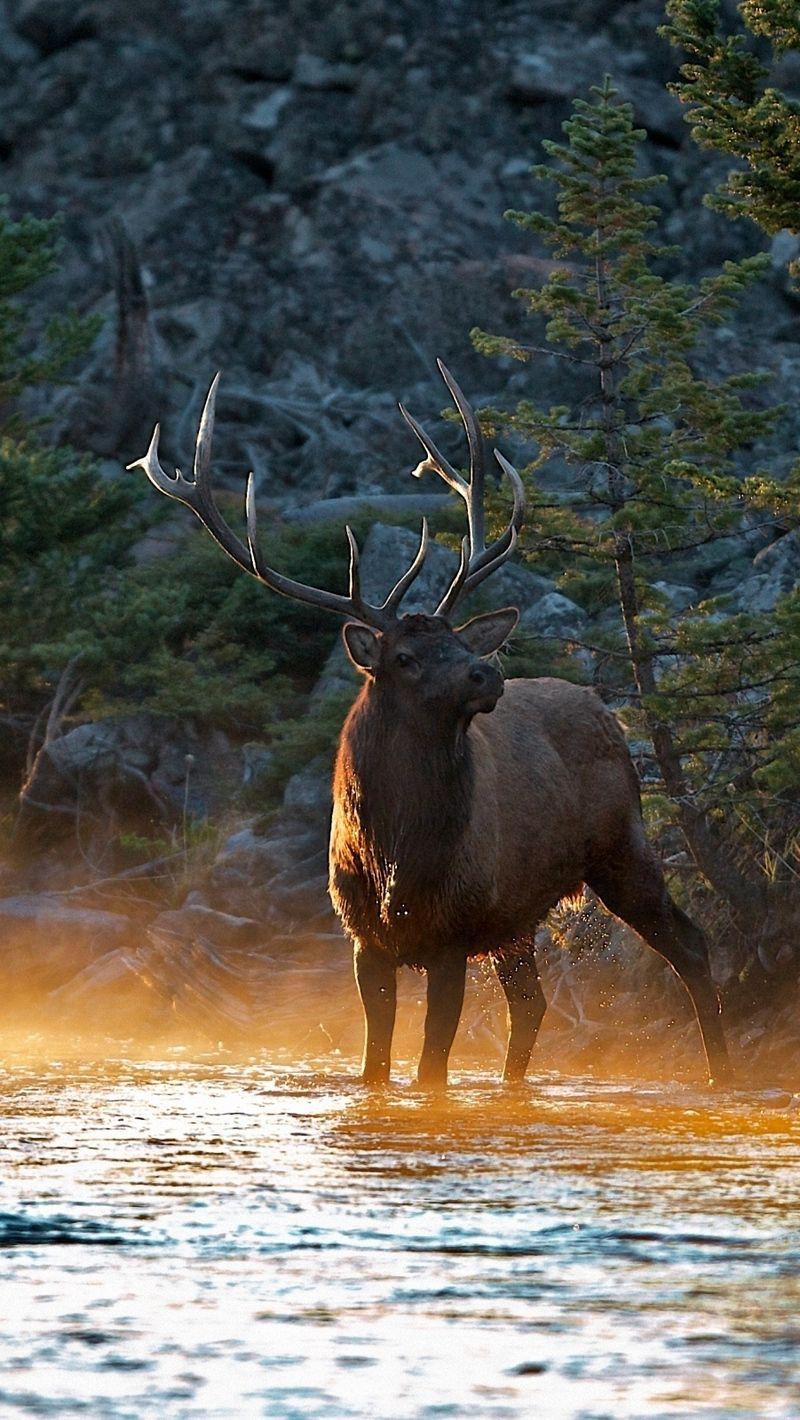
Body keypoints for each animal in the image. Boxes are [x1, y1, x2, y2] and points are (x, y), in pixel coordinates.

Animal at [128, 362, 732, 1090]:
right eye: (407, 657)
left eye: (458, 640)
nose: (486, 672)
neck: (397, 854)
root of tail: (604, 709)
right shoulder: (365, 939)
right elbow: (375, 1066)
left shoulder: (452, 933)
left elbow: (431, 1069)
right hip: (517, 915)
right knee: (531, 1003)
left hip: (621, 844)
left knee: (690, 944)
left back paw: (723, 1073)